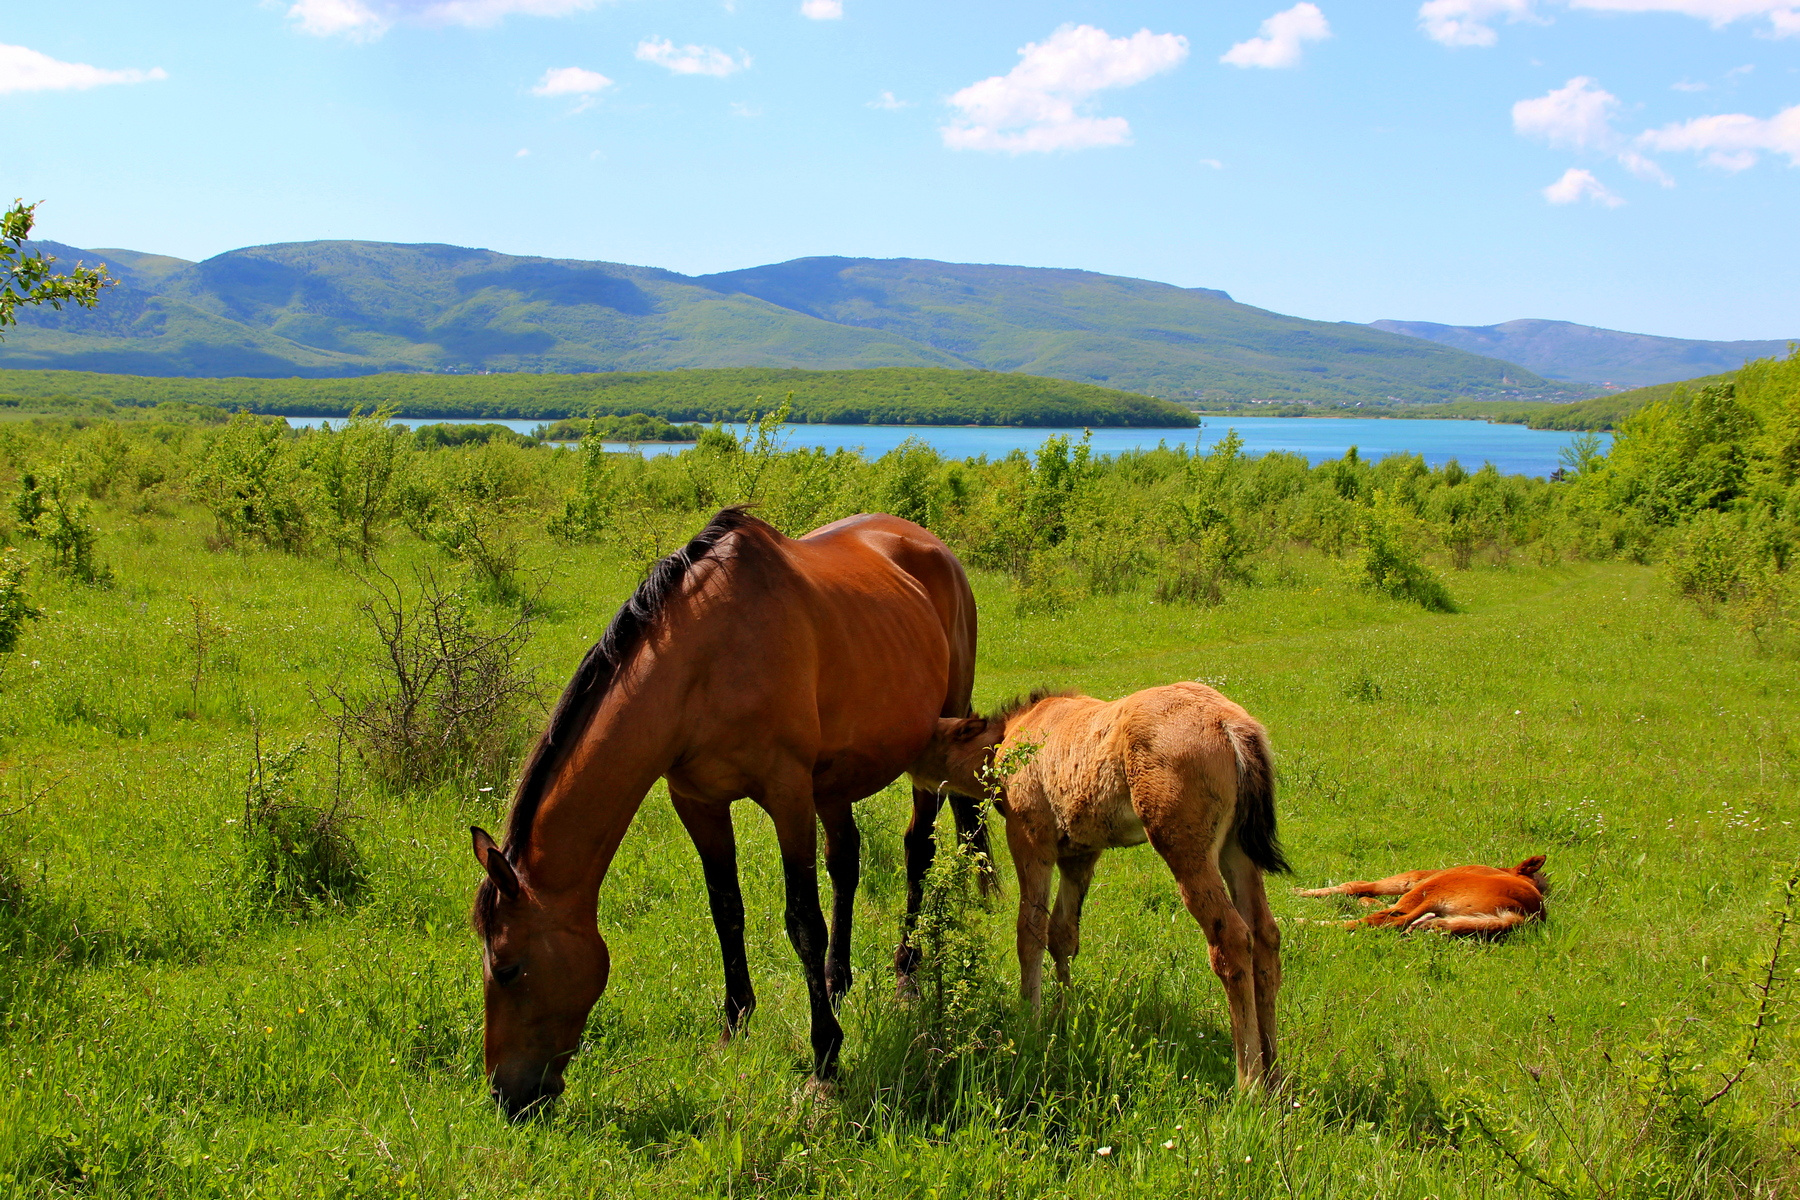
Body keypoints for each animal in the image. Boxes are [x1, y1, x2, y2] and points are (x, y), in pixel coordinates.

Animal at [470, 507, 984, 1117]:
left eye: (508, 968)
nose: (506, 1095)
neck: (704, 663)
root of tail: (933, 545)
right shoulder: (699, 802)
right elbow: (726, 909)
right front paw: (735, 1025)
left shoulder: (787, 793)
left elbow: (803, 922)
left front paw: (826, 1056)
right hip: (834, 781)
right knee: (846, 862)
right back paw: (837, 980)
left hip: (932, 742)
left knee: (917, 852)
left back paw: (907, 971)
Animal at [906, 681, 1289, 1091]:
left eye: (932, 735)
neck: (1007, 739)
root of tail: (1231, 725)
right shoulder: (1080, 853)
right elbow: (1062, 934)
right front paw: (1062, 1018)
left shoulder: (1031, 839)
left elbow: (1030, 932)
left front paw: (1030, 1023)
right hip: (1237, 849)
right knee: (1264, 934)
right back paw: (1274, 1073)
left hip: (1186, 847)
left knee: (1231, 938)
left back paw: (1249, 1082)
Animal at [1294, 856, 1548, 935]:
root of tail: (1525, 913)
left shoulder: (1413, 879)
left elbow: (1357, 885)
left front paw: (1300, 891)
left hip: (1432, 889)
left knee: (1382, 920)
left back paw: (1298, 921)